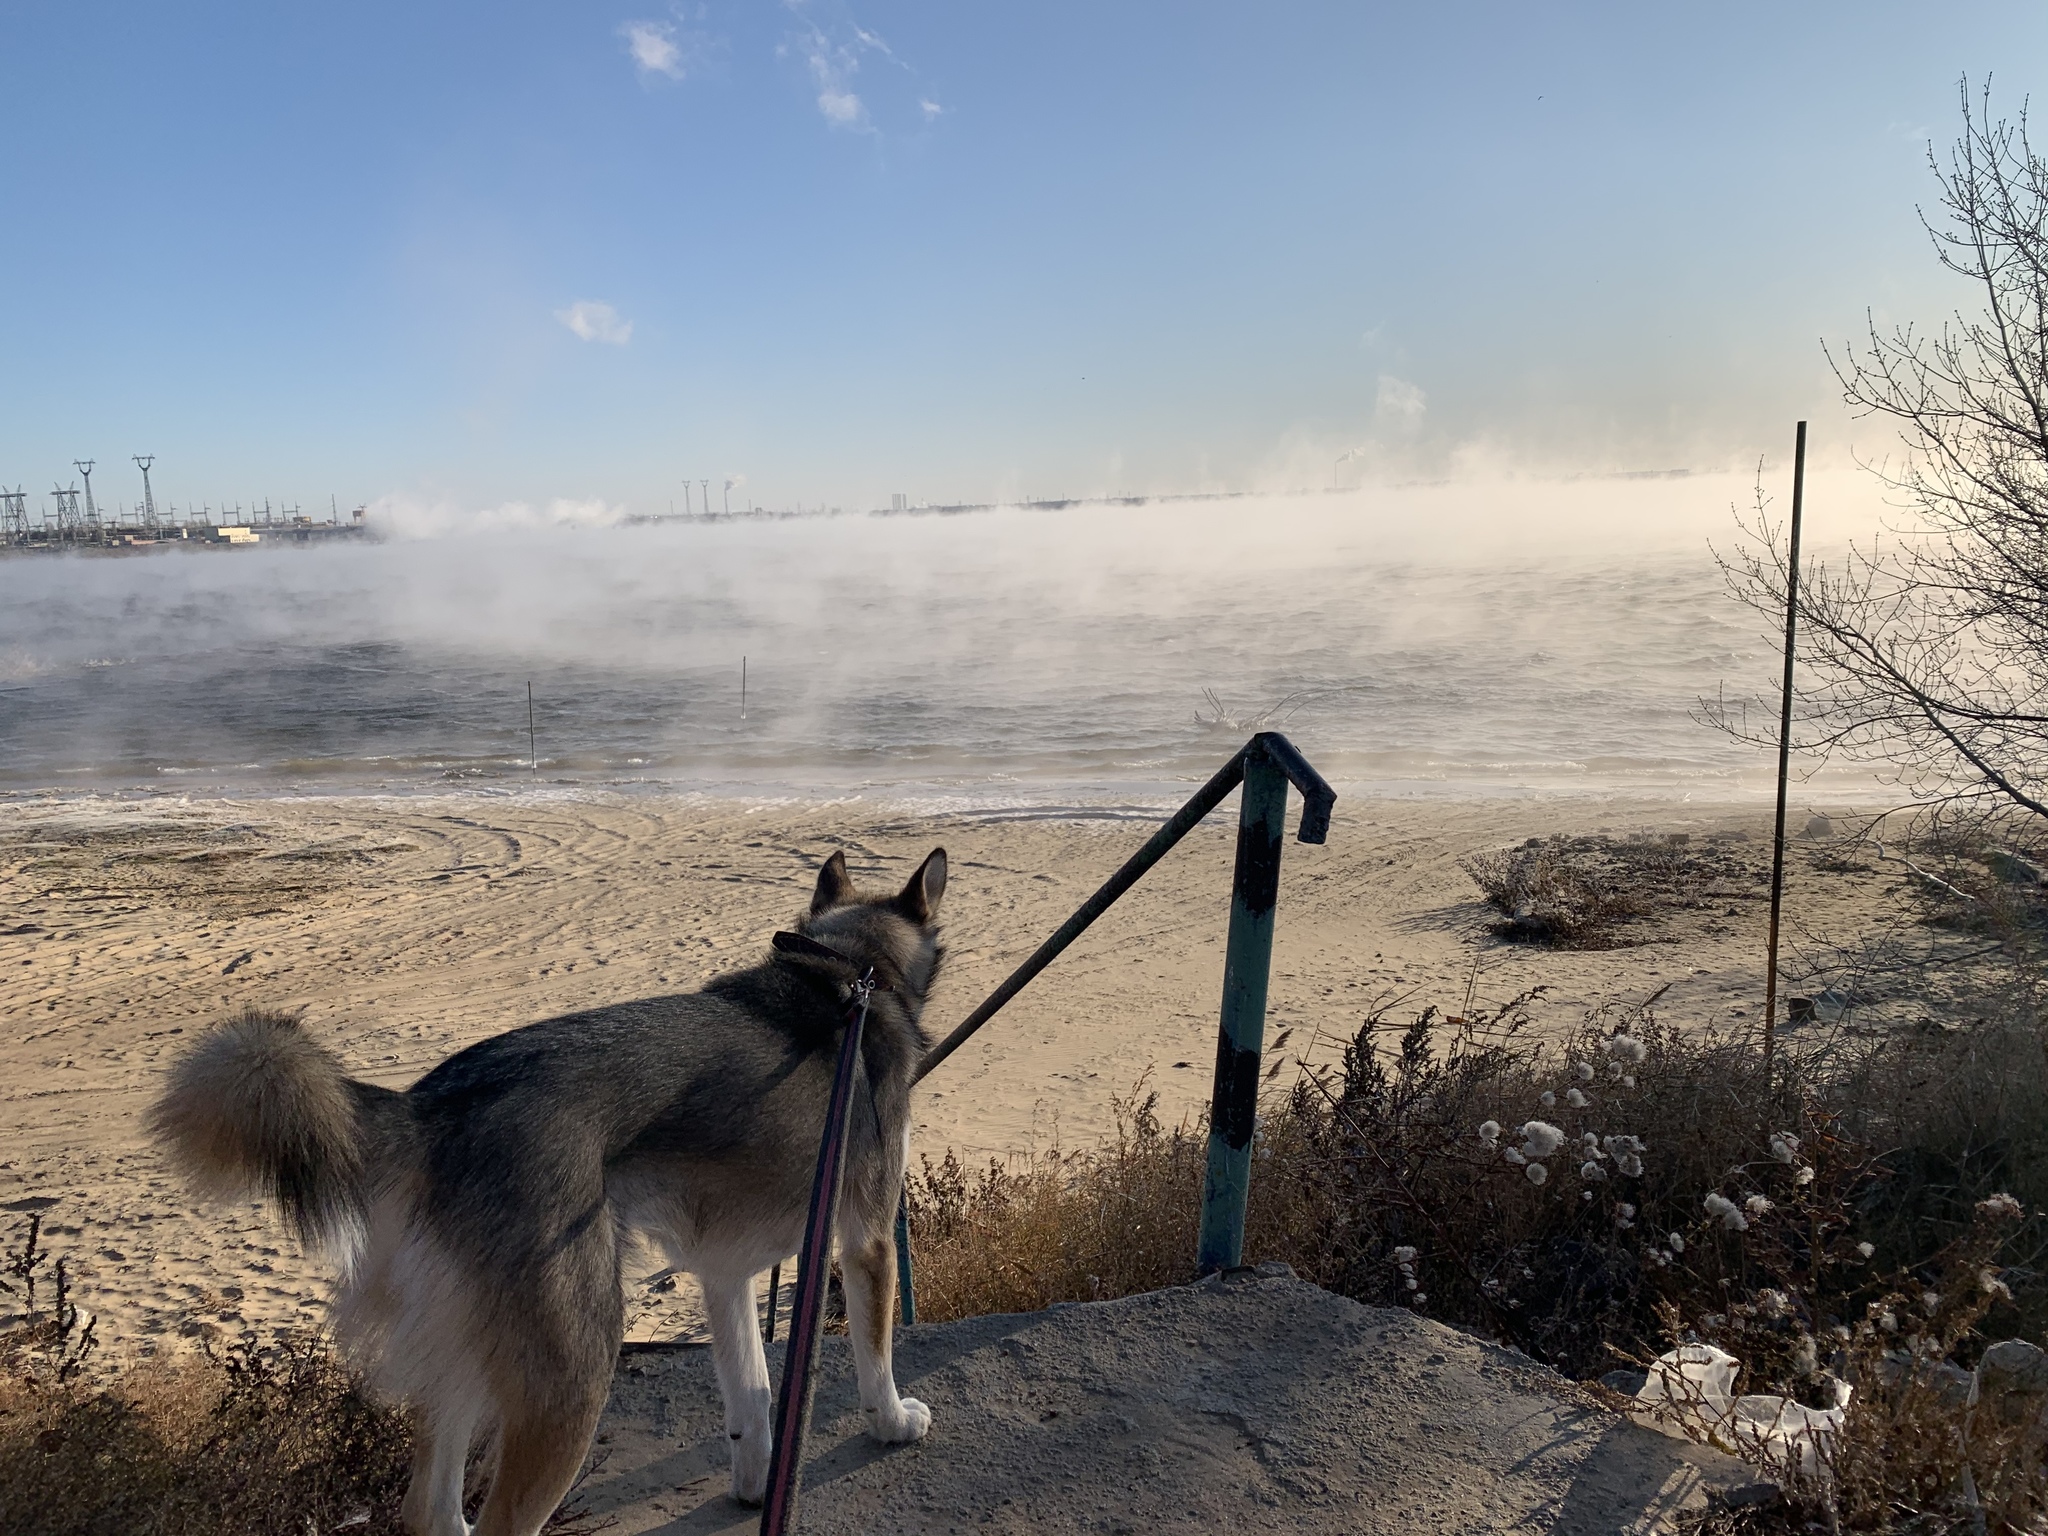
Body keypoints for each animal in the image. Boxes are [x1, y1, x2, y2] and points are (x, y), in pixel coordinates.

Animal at [148, 847, 946, 1531]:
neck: (848, 974)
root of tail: (431, 1106)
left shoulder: (724, 1275)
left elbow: (752, 1397)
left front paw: (757, 1487)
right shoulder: (868, 1239)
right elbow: (875, 1356)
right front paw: (892, 1422)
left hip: (466, 1356)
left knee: (431, 1510)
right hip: (573, 1378)